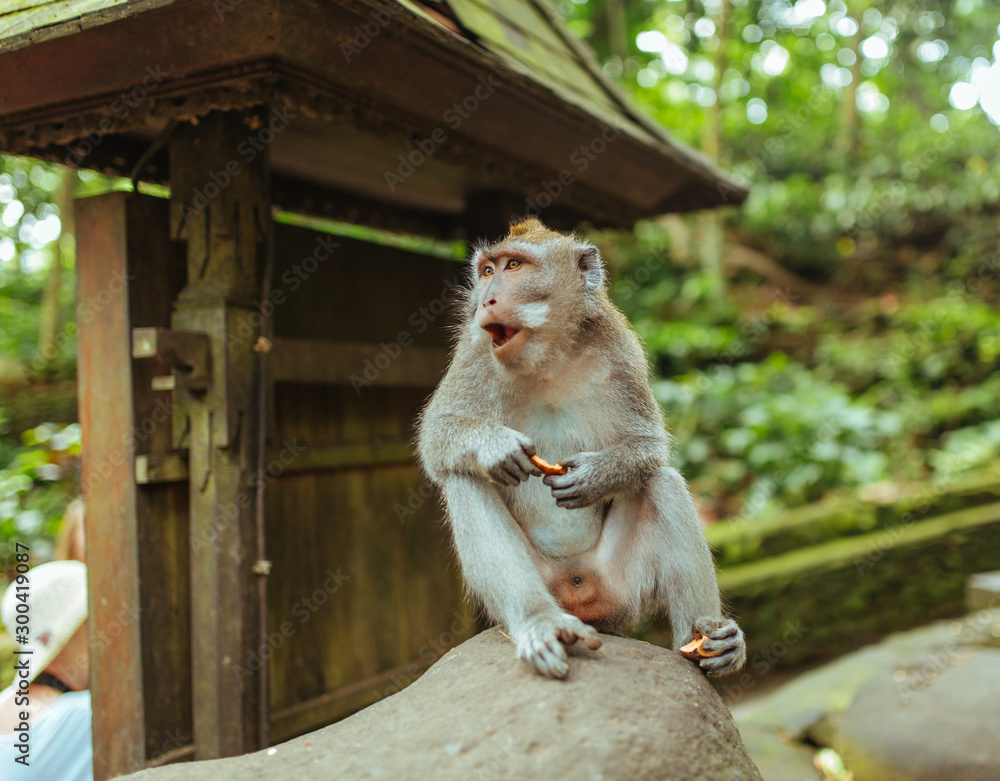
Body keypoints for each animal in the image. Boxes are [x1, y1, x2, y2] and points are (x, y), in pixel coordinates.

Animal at [418, 219, 748, 676]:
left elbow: (648, 445)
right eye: (486, 271)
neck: (548, 356)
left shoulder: (620, 348)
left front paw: (596, 476)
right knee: (465, 480)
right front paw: (495, 446)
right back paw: (541, 621)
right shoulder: (474, 349)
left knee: (662, 482)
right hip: (538, 588)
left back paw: (707, 642)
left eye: (514, 266)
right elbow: (436, 437)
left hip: (621, 588)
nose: (486, 299)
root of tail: (578, 590)